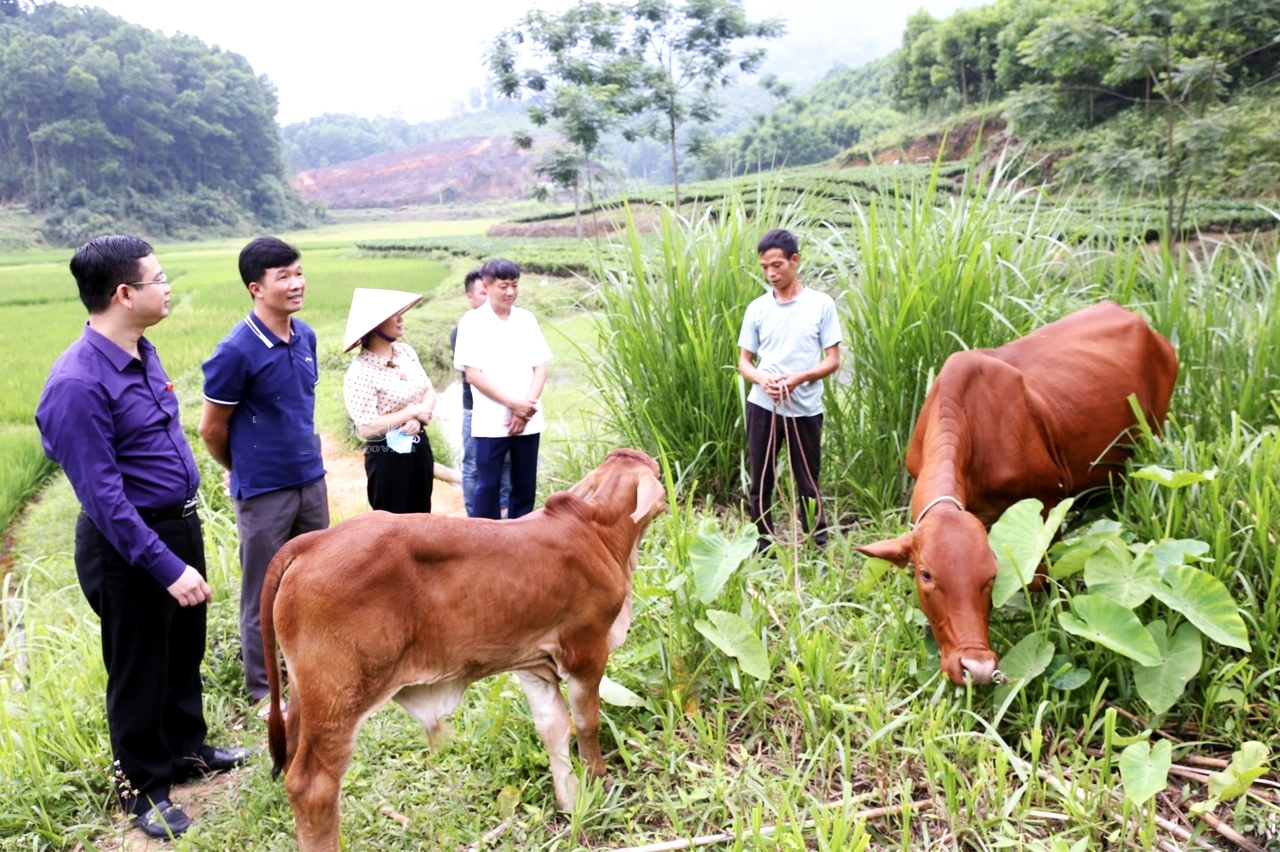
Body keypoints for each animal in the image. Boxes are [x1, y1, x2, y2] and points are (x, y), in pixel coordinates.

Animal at [256, 447, 665, 844]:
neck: (600, 532)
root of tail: (310, 542)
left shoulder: (533, 662)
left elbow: (554, 729)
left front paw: (571, 802)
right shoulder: (586, 649)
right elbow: (586, 723)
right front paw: (598, 781)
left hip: (304, 699)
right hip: (337, 700)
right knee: (313, 787)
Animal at [855, 300, 1172, 685]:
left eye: (993, 574)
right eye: (926, 574)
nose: (976, 668)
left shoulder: (1048, 504)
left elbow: (1040, 580)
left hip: (1149, 443)